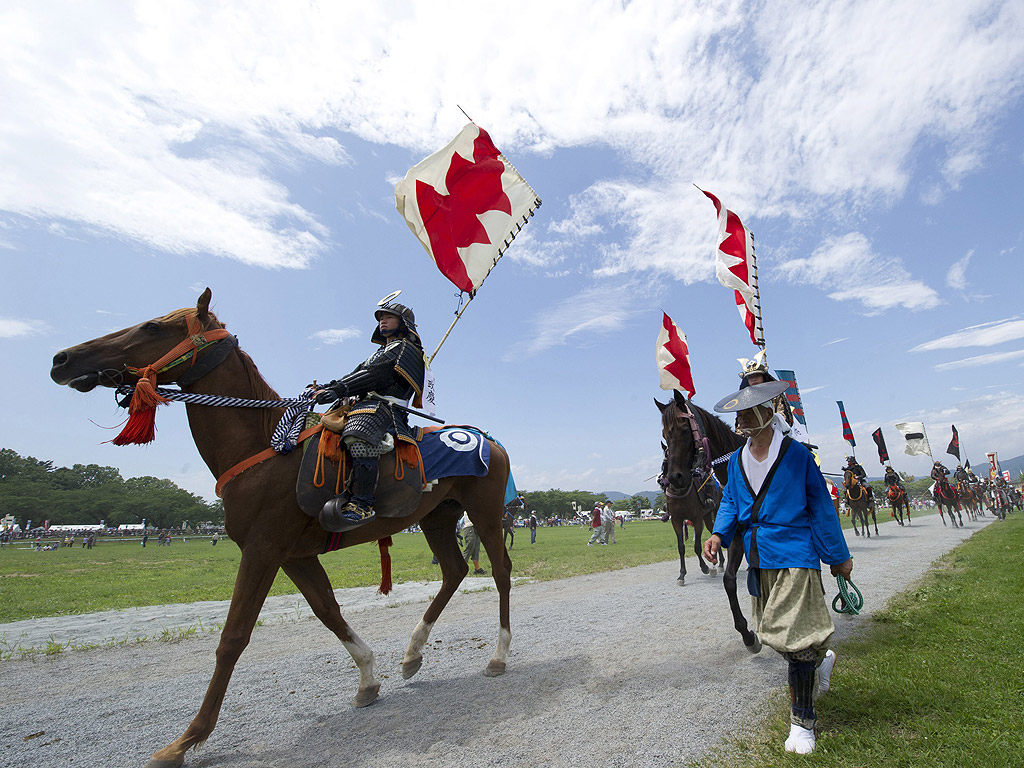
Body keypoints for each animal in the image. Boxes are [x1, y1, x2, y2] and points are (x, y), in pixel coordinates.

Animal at [49, 290, 512, 768]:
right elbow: (328, 612)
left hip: (485, 514)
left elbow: (232, 638)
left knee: (500, 572)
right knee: (455, 571)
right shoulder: (295, 555)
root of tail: (490, 441)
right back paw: (412, 654)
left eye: (152, 327)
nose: (63, 359)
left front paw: (187, 739)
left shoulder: (262, 549)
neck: (265, 447)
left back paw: (497, 656)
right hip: (437, 518)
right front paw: (368, 679)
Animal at [655, 393, 761, 651]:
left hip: (708, 517)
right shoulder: (678, 521)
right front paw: (682, 575)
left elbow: (695, 546)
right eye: (664, 435)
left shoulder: (696, 518)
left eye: (685, 429)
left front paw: (706, 567)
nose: (673, 479)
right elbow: (683, 547)